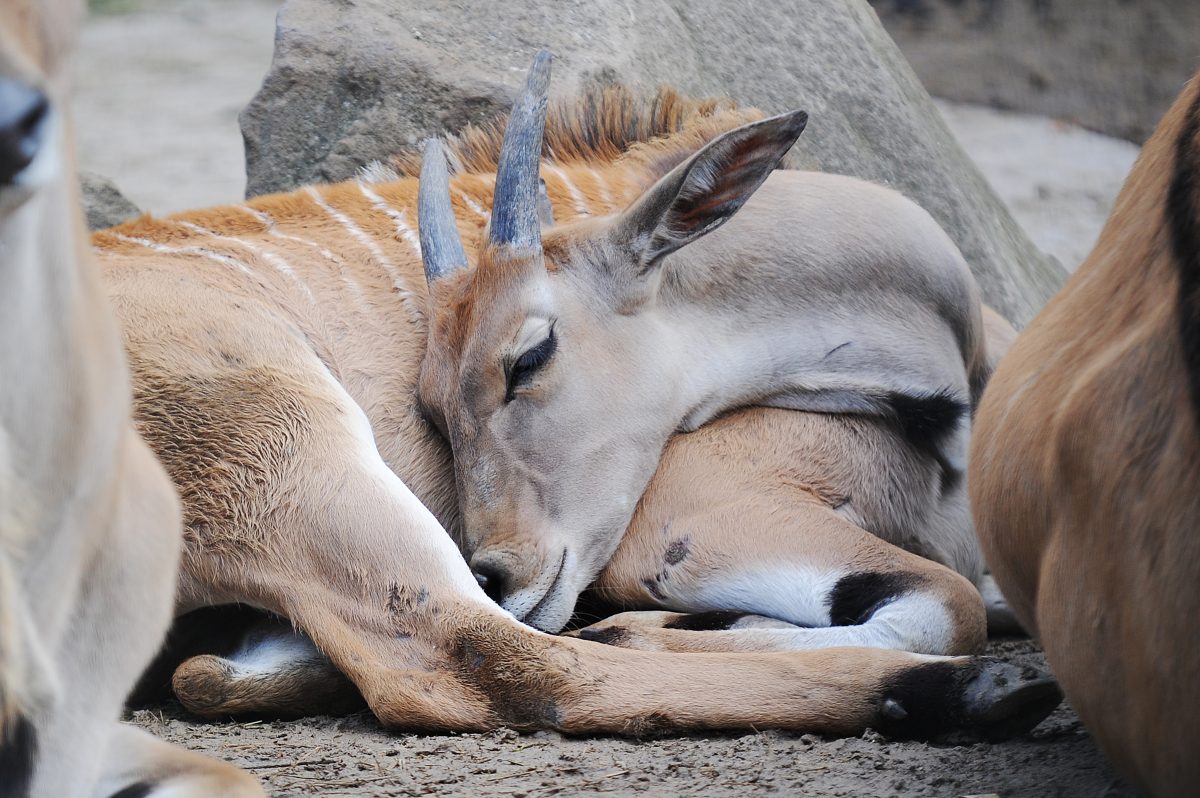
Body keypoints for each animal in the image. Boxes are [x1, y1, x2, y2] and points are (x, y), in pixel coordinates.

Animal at [93, 51, 1056, 734]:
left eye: (530, 356)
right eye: (431, 406)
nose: (498, 567)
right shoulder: (694, 518)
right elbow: (944, 604)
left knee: (226, 673)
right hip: (304, 452)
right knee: (484, 663)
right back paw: (966, 691)